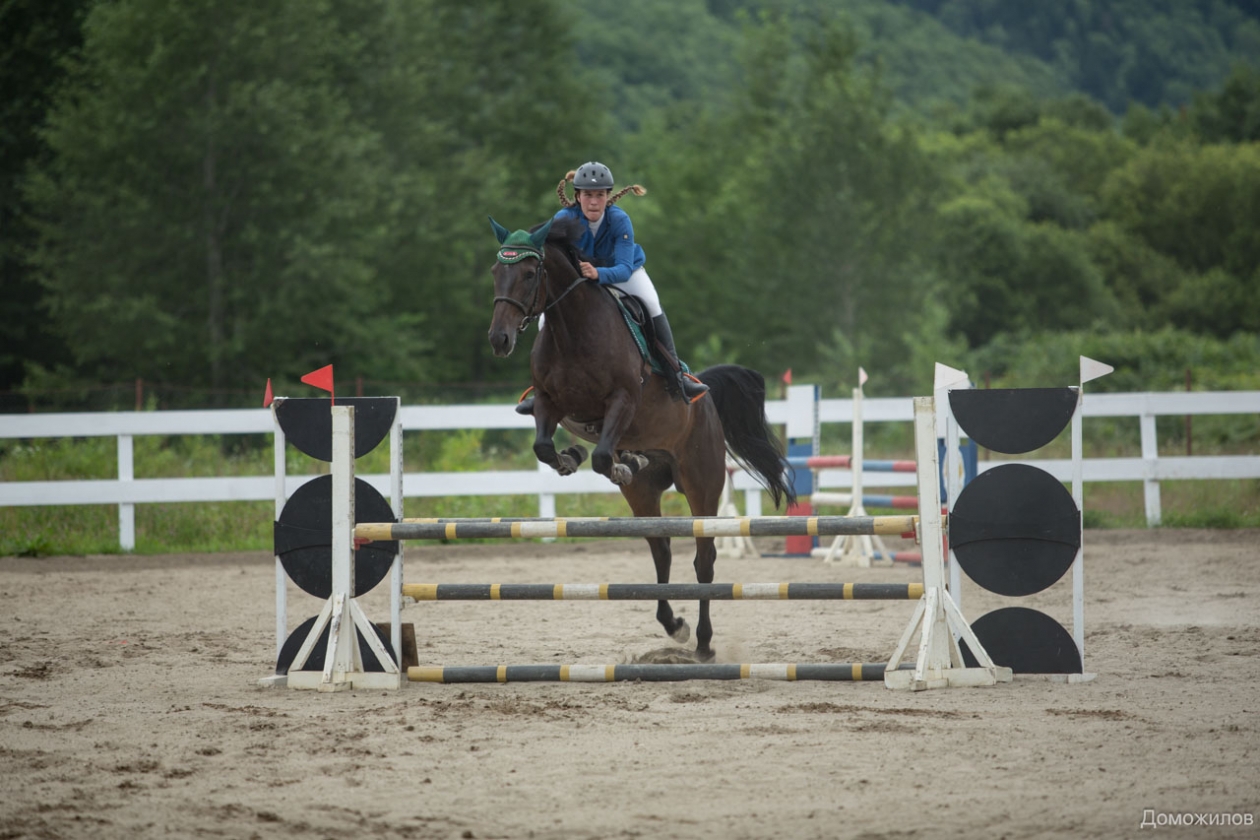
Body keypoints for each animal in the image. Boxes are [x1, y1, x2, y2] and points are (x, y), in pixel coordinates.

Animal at [483, 214, 791, 659]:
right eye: (495, 271)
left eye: (528, 273)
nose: (499, 339)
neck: (571, 329)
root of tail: (707, 401)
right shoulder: (547, 403)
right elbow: (544, 445)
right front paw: (571, 457)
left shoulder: (623, 400)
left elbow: (600, 452)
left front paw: (606, 462)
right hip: (645, 494)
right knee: (660, 549)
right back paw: (673, 623)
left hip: (701, 483)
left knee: (704, 558)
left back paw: (703, 642)